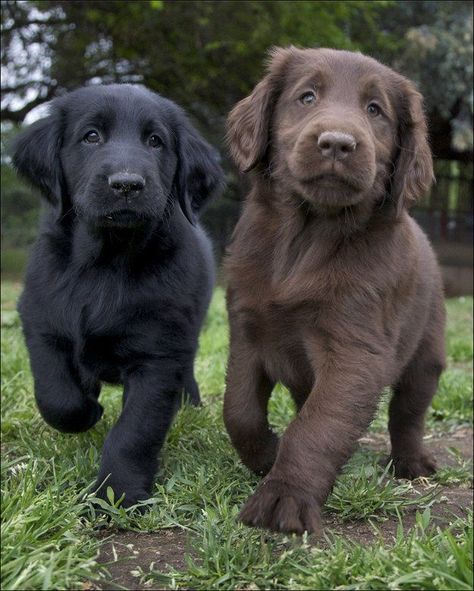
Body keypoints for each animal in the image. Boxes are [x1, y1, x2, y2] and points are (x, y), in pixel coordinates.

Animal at [12, 84, 224, 508]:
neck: (105, 263)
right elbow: (57, 396)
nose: (127, 184)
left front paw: (116, 494)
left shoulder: (159, 356)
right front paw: (88, 408)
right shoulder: (41, 322)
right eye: (91, 136)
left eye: (156, 141)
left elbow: (134, 432)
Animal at [222, 47, 444, 536]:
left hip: (427, 353)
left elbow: (318, 426)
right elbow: (239, 409)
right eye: (307, 96)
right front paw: (265, 454)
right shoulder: (246, 329)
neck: (308, 234)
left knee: (408, 413)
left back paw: (412, 463)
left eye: (375, 110)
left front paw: (285, 496)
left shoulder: (355, 350)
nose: (338, 143)